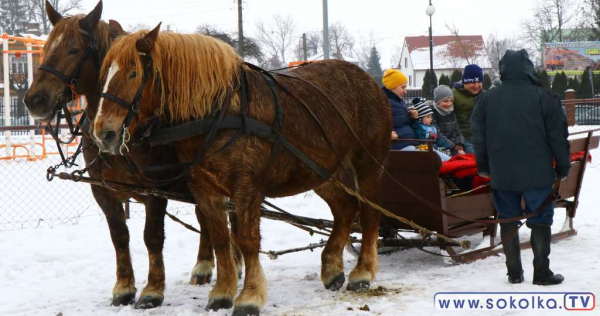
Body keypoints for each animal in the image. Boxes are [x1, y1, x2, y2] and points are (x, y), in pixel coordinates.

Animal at [22, 0, 241, 308]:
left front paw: (153, 289)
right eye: (45, 48)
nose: (35, 100)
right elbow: (119, 236)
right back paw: (205, 264)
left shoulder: (155, 190)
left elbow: (152, 236)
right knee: (206, 216)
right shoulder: (103, 191)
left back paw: (226, 263)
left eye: (74, 50)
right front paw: (124, 286)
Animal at [89, 24, 390, 316]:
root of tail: (368, 79)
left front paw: (250, 296)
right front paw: (222, 293)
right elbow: (221, 239)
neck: (220, 112)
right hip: (324, 171)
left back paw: (363, 272)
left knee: (369, 213)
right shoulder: (205, 189)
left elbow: (246, 240)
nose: (104, 133)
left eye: (133, 73)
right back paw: (332, 268)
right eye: (104, 75)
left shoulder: (246, 187)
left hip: (367, 163)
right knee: (345, 208)